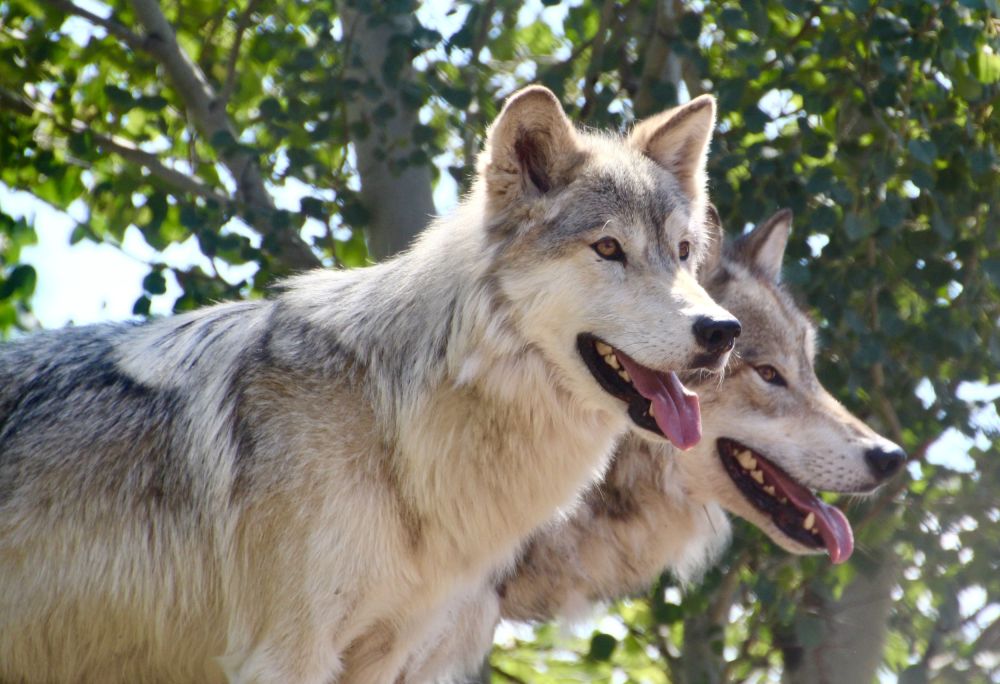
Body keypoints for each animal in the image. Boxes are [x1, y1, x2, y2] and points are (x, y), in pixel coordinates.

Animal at [0, 86, 739, 683]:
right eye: (608, 249)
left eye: (681, 254)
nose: (722, 331)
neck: (394, 421)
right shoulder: (285, 653)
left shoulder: (383, 655)